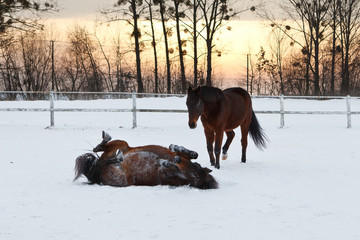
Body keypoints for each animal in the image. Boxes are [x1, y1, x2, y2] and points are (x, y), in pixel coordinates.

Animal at [74, 131, 218, 189]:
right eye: (197, 166)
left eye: (195, 179)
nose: (176, 160)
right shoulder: (180, 158)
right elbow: (193, 154)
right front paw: (176, 148)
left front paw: (167, 162)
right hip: (123, 144)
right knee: (101, 151)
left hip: (121, 178)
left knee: (100, 162)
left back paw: (116, 156)